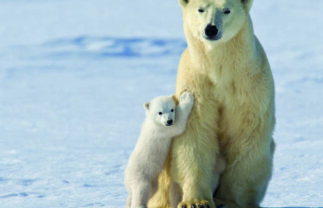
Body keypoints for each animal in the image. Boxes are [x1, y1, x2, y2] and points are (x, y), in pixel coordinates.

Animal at [149, 0, 276, 208]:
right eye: (201, 9)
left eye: (226, 10)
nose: (211, 29)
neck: (220, 71)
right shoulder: (197, 84)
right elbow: (195, 135)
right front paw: (196, 201)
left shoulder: (249, 86)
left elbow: (246, 136)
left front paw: (228, 201)